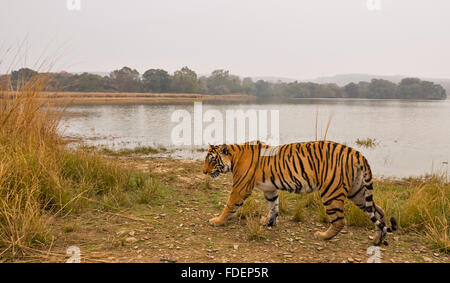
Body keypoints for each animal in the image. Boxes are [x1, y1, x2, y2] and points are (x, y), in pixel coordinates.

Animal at [202, 141, 396, 245]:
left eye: (212, 160)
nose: (204, 172)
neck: (235, 156)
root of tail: (356, 152)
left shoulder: (240, 188)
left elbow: (229, 205)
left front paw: (217, 221)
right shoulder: (270, 189)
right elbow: (273, 206)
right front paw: (269, 222)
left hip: (331, 192)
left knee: (340, 221)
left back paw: (323, 236)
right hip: (357, 192)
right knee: (379, 212)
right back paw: (378, 239)